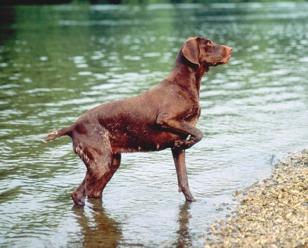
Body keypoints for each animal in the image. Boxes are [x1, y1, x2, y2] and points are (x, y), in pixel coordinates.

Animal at [45, 36, 231, 205]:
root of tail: (72, 127)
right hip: (99, 164)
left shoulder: (177, 149)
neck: (183, 85)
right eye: (208, 43)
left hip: (111, 164)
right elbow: (199, 133)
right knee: (78, 194)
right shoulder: (166, 119)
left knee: (93, 193)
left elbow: (184, 181)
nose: (231, 49)